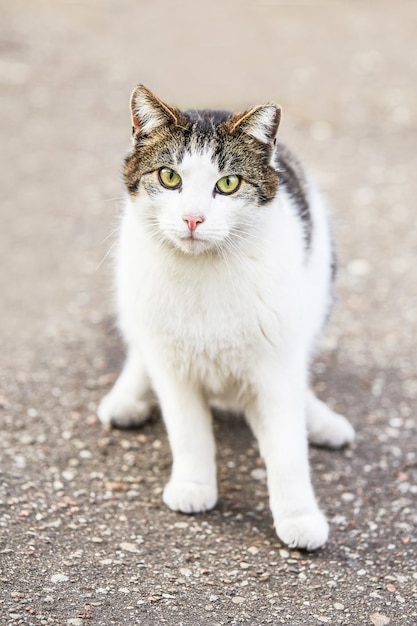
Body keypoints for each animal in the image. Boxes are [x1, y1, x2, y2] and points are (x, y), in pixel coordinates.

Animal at [97, 85, 354, 548]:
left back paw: (320, 419)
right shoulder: (174, 368)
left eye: (228, 184)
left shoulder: (275, 368)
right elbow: (188, 431)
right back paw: (127, 397)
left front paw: (299, 516)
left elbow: (287, 448)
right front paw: (194, 486)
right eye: (169, 177)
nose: (193, 218)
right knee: (140, 348)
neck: (204, 271)